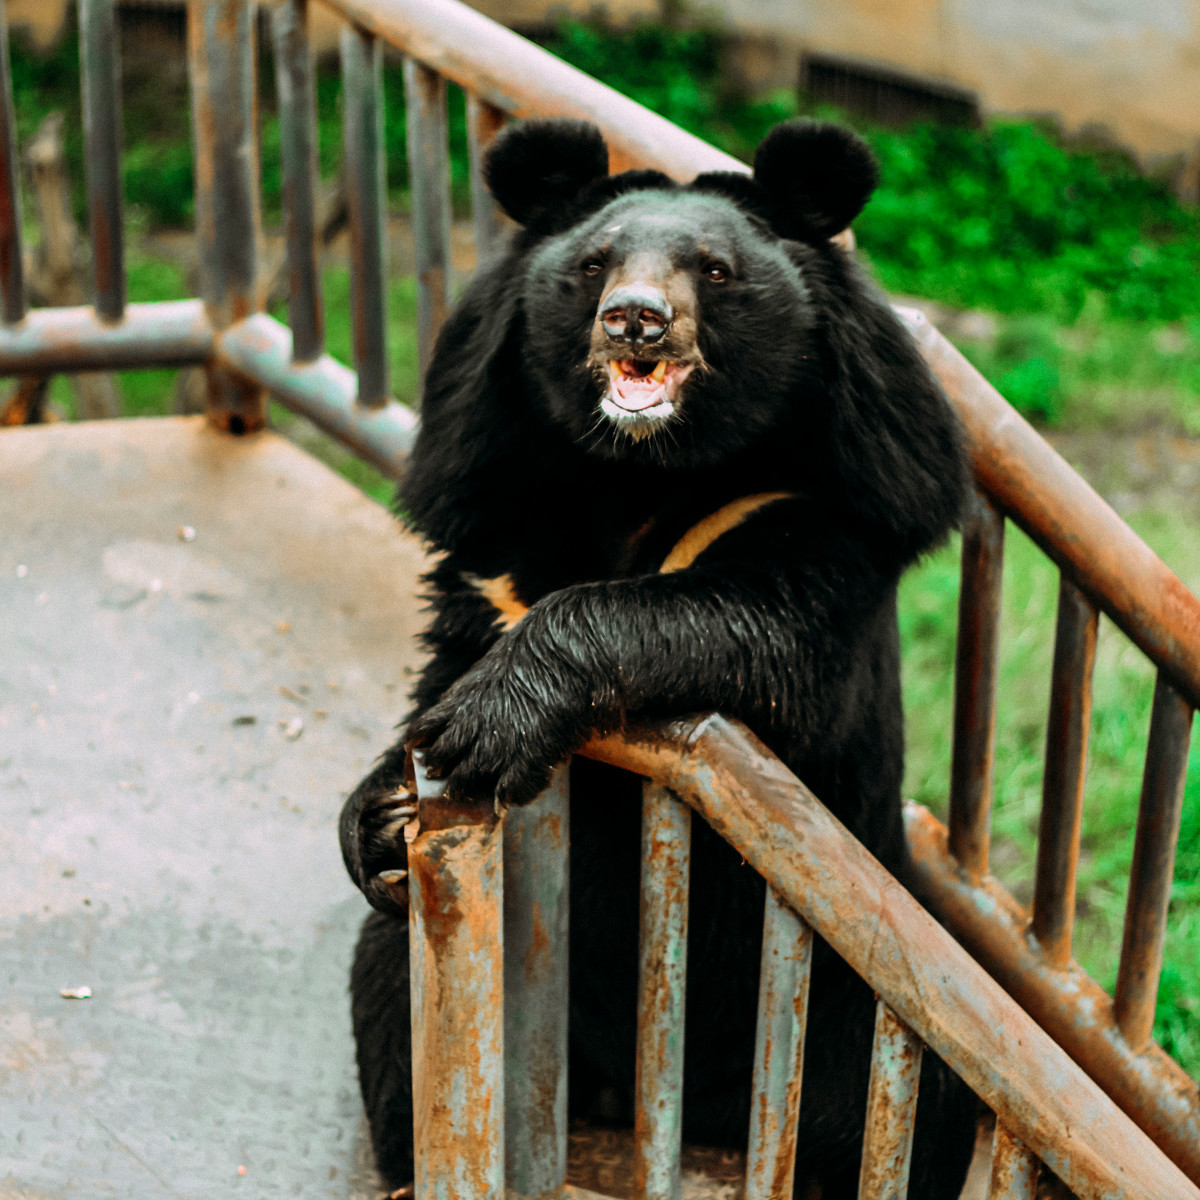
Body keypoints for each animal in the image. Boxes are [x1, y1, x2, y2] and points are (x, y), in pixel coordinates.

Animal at [338, 117, 974, 1195]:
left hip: (852, 1001)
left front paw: (488, 726)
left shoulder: (826, 505)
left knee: (914, 1107)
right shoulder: (495, 529)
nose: (635, 321)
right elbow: (445, 660)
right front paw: (379, 807)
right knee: (391, 978)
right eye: (593, 263)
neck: (636, 474)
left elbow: (743, 626)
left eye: (714, 270)